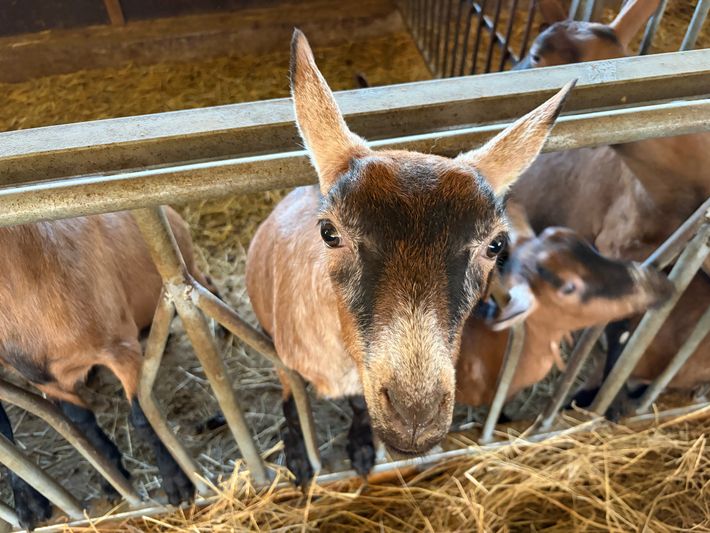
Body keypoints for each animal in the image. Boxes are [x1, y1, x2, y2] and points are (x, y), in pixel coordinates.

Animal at [0, 207, 212, 530]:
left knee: (207, 284)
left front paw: (177, 484)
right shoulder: (48, 379)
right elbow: (81, 422)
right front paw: (112, 480)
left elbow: (143, 416)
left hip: (186, 268)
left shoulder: (121, 346)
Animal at [245, 29, 574, 485]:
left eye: (495, 245)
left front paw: (362, 447)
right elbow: (292, 398)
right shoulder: (284, 359)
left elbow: (358, 405)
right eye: (329, 232)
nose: (415, 414)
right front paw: (297, 455)